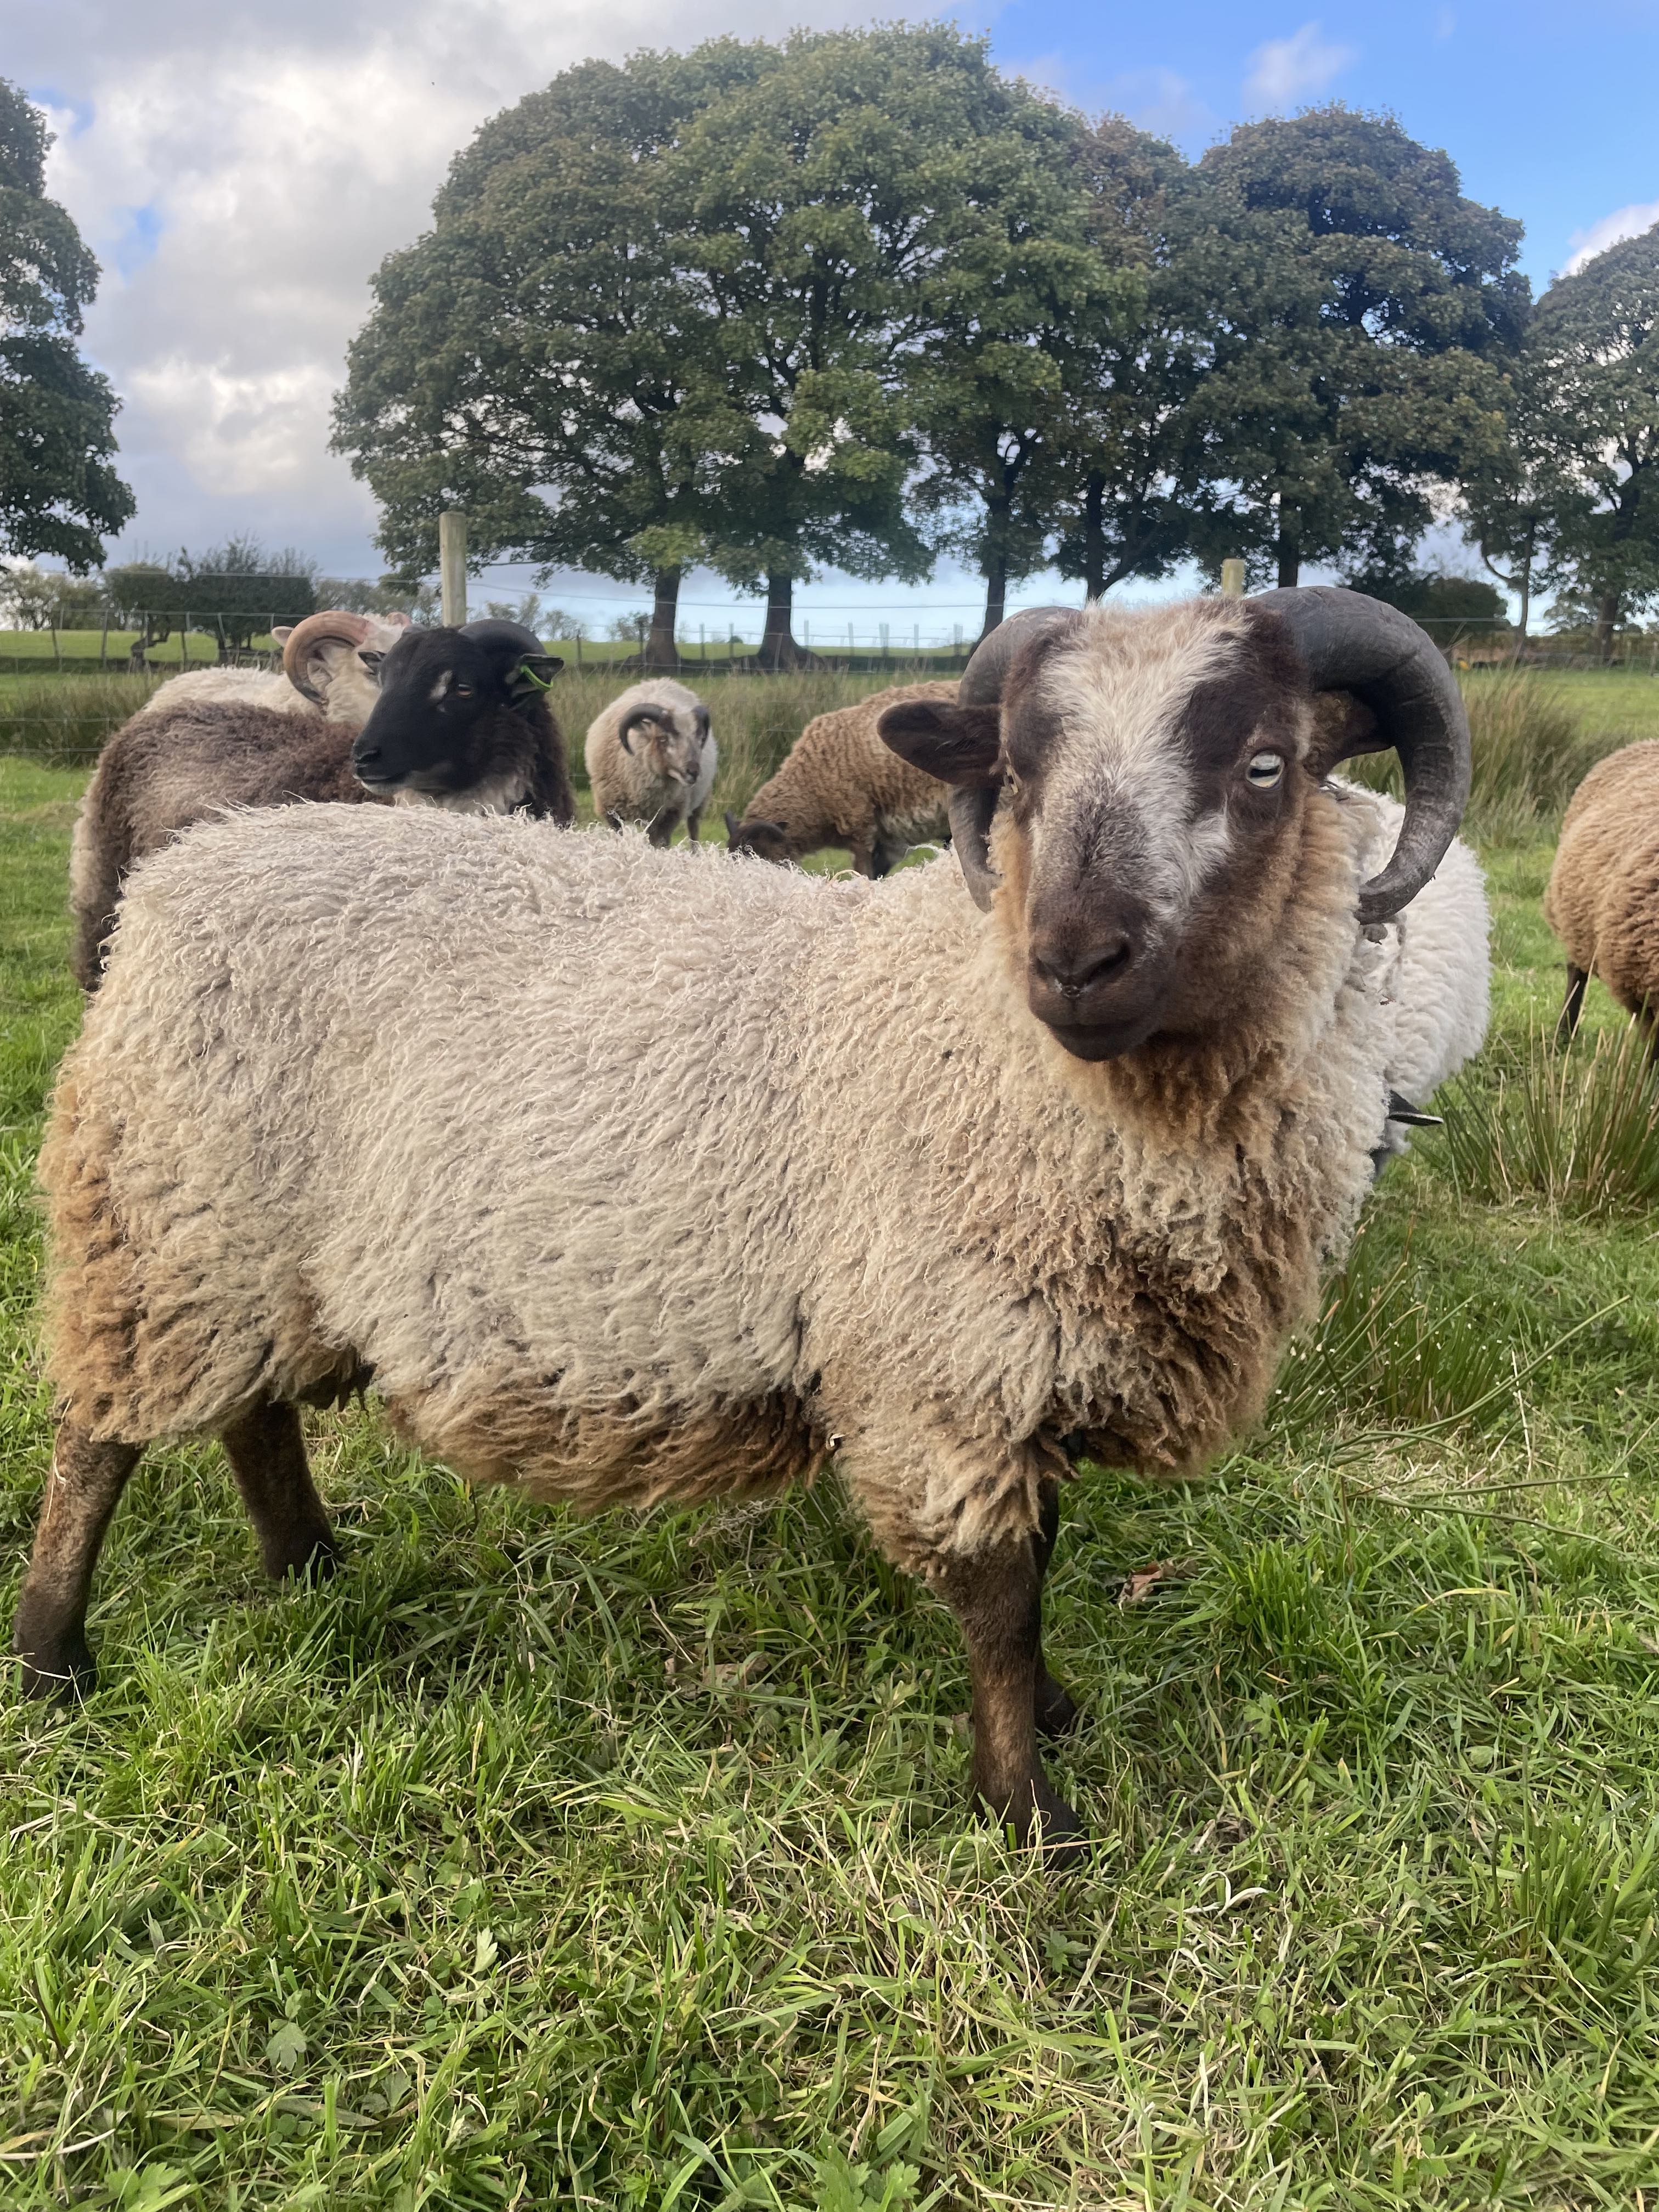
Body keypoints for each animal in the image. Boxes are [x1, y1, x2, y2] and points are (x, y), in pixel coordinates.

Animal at [584, 680, 715, 844]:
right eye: (663, 738)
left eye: (700, 739)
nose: (693, 772)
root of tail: (664, 681)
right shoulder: (610, 811)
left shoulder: (669, 815)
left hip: (700, 802)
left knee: (693, 830)